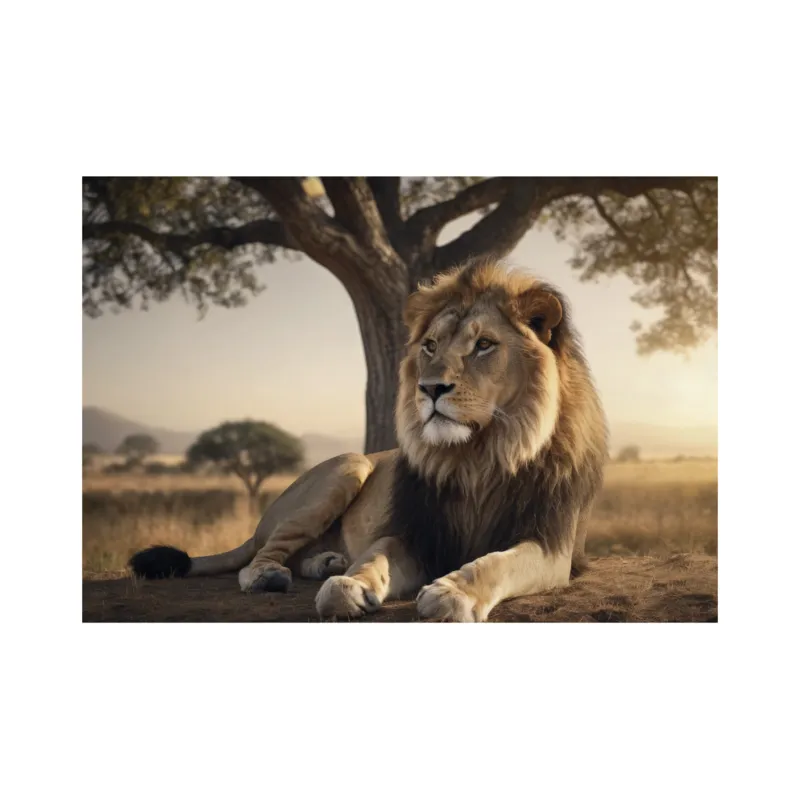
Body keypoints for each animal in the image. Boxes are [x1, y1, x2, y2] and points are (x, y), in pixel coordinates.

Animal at [129, 258, 608, 622]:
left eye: (484, 345)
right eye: (430, 345)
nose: (430, 388)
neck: (477, 456)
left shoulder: (552, 546)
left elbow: (494, 563)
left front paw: (452, 592)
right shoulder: (416, 533)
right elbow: (375, 557)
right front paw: (349, 585)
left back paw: (326, 561)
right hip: (350, 465)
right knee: (258, 557)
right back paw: (280, 574)